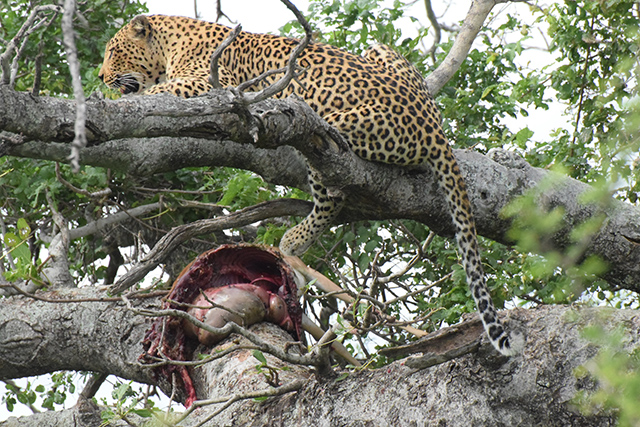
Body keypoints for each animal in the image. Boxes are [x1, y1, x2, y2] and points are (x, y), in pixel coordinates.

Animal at [97, 13, 524, 356]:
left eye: (114, 51)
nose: (100, 76)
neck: (174, 41)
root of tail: (433, 127)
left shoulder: (210, 84)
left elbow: (161, 91)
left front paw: (99, 98)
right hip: (381, 53)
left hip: (323, 127)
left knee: (332, 195)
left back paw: (294, 240)